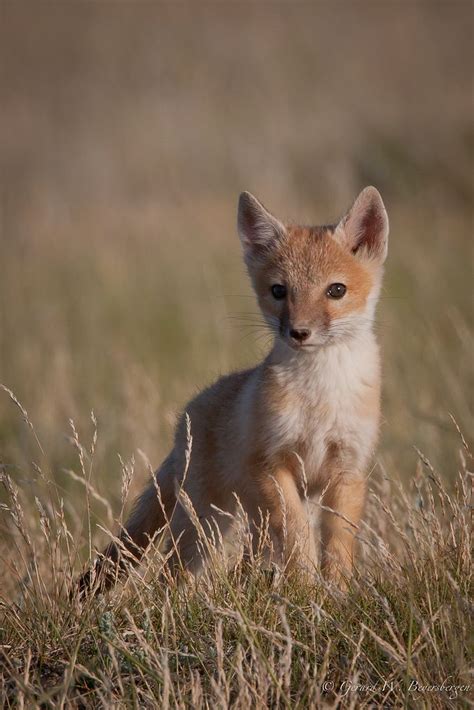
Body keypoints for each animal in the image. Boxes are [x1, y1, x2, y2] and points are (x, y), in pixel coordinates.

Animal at [78, 188, 388, 596]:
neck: (320, 399)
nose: (299, 332)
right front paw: (306, 585)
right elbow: (299, 534)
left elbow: (338, 545)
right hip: (206, 525)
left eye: (336, 290)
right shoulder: (270, 465)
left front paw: (335, 594)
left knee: (239, 565)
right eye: (279, 291)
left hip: (245, 523)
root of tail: (189, 414)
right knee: (168, 575)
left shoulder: (348, 471)